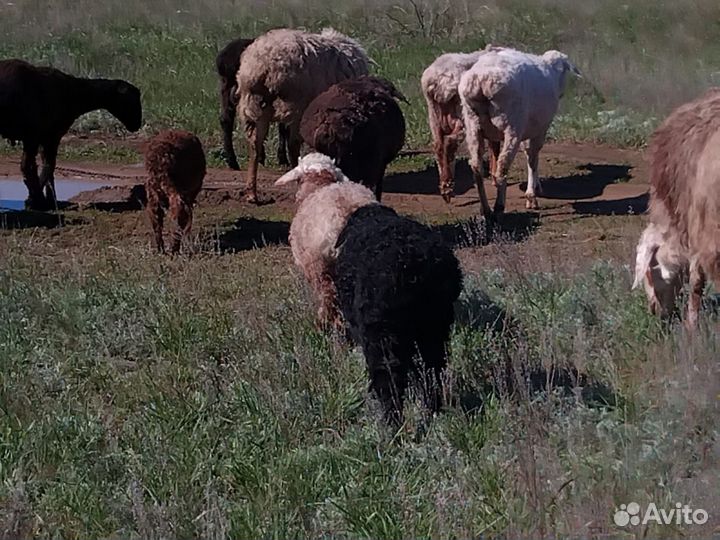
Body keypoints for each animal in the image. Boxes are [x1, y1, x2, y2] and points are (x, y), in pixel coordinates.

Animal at [0, 59, 142, 210]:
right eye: (131, 100)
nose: (137, 125)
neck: (74, 93)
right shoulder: (50, 135)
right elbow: (48, 166)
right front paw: (39, 201)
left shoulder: (44, 137)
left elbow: (47, 166)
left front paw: (45, 200)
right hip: (31, 133)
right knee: (27, 166)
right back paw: (38, 199)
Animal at [237, 27, 370, 203]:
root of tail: (265, 63)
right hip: (296, 105)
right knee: (292, 145)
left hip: (254, 103)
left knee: (255, 144)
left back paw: (252, 193)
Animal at [459, 47, 580, 219]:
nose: (562, 93)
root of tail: (482, 81)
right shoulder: (540, 129)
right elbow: (532, 159)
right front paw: (532, 196)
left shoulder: (529, 129)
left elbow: (530, 155)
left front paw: (536, 187)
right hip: (512, 126)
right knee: (502, 167)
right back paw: (499, 207)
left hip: (472, 126)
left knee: (476, 167)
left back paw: (486, 210)